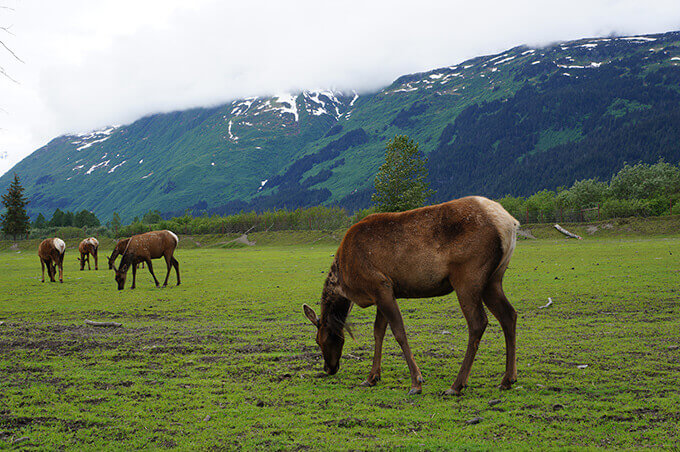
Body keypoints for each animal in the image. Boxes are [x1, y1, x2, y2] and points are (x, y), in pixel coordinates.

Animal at [302, 197, 520, 396]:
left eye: (319, 340)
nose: (328, 369)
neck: (345, 283)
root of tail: (508, 223)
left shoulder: (380, 285)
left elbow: (399, 332)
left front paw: (416, 382)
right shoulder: (384, 292)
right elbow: (378, 332)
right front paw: (372, 377)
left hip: (468, 277)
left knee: (478, 322)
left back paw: (457, 385)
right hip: (493, 279)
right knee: (509, 315)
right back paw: (507, 379)